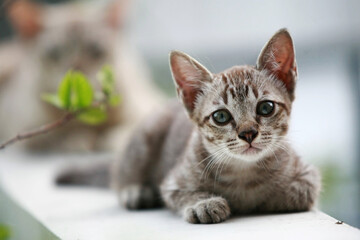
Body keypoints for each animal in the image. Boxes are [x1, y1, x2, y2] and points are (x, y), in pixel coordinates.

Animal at [0, 0, 163, 152]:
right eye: (55, 53)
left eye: (96, 50)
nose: (76, 67)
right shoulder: (26, 130)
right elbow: (55, 137)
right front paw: (78, 139)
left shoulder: (147, 107)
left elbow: (130, 128)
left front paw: (111, 139)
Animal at [112, 29, 320, 223]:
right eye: (221, 116)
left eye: (266, 107)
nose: (248, 133)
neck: (243, 172)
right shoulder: (172, 182)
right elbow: (182, 195)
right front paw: (204, 203)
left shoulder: (308, 176)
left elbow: (295, 193)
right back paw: (135, 191)